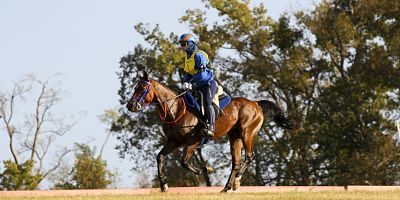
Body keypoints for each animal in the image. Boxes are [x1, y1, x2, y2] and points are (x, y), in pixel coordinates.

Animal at [126, 72, 292, 192]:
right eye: (135, 88)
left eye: (143, 88)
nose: (130, 105)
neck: (176, 110)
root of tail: (256, 104)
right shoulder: (173, 141)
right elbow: (160, 157)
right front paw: (163, 185)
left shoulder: (194, 140)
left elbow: (184, 161)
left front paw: (205, 169)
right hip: (235, 138)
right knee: (236, 162)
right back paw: (227, 187)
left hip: (247, 134)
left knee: (249, 157)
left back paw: (237, 181)